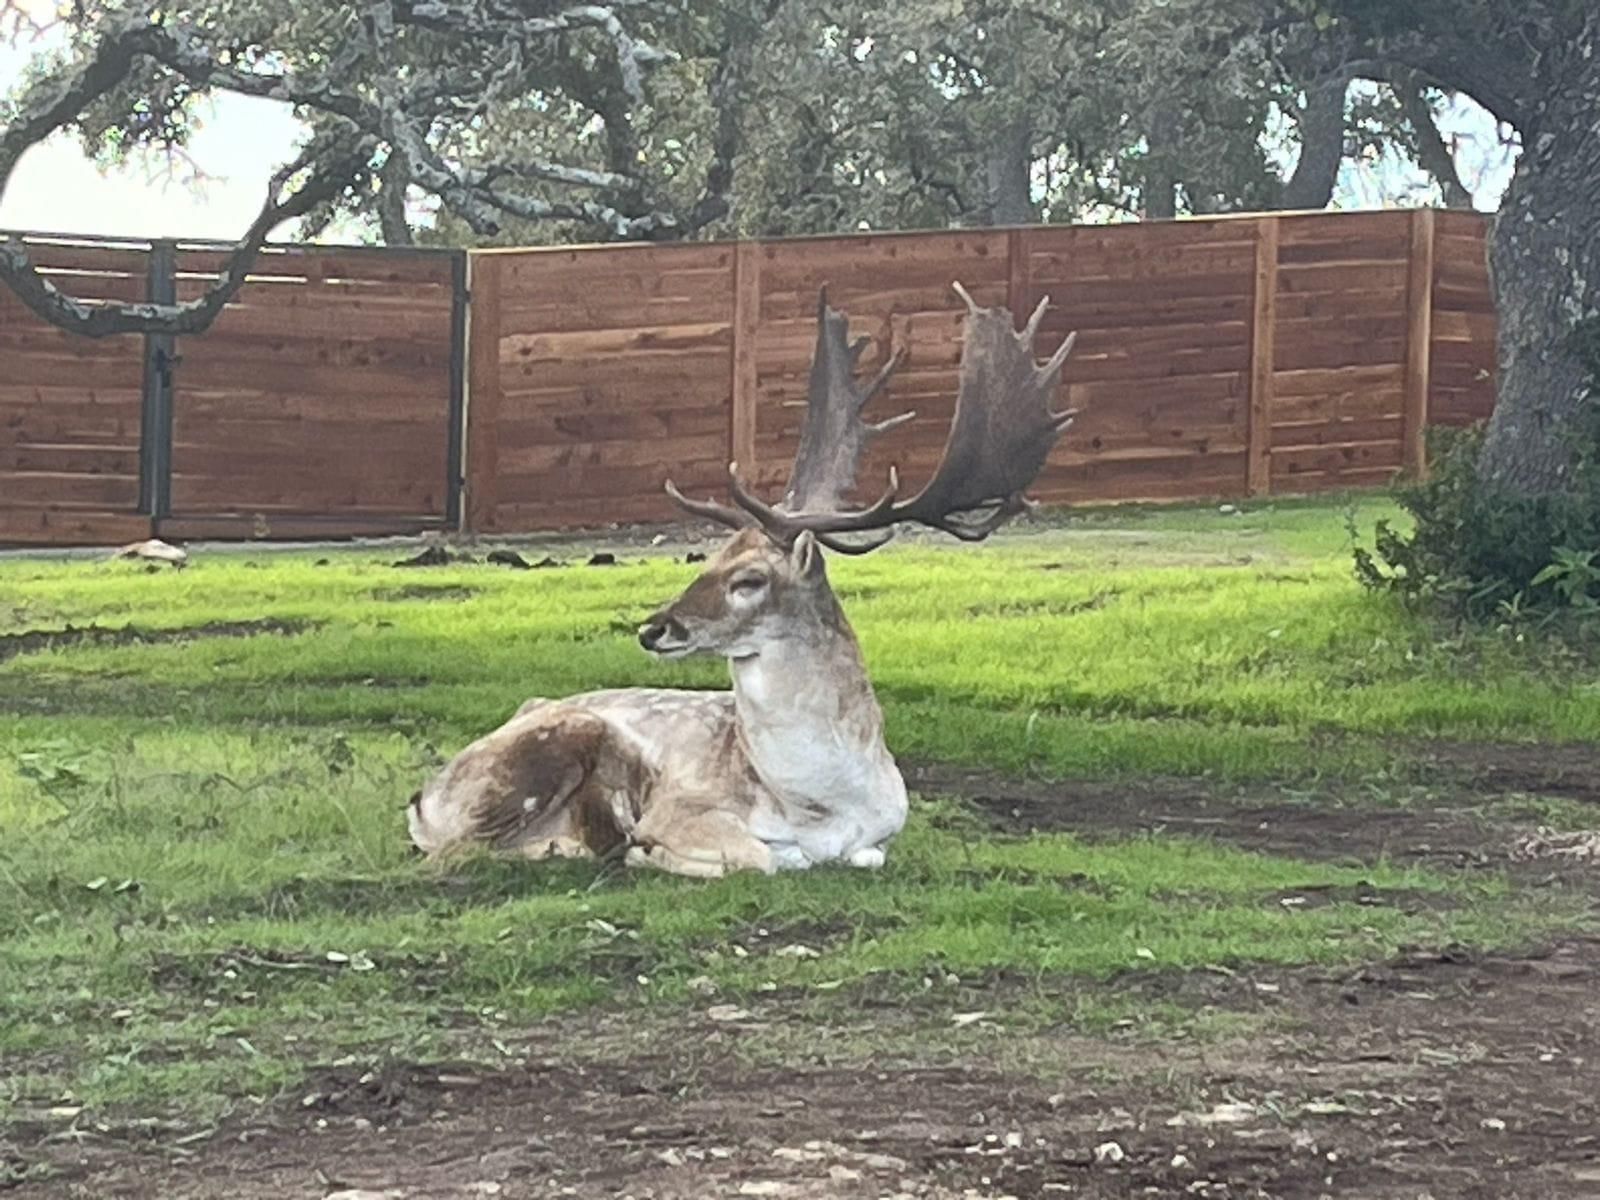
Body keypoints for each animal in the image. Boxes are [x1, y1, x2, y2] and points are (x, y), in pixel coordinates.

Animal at [406, 284, 1075, 876]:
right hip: (545, 750)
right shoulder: (684, 808)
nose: (654, 628)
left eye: (749, 578)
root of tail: (422, 799)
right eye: (706, 559)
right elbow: (766, 857)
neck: (824, 804)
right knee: (457, 852)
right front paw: (647, 851)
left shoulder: (886, 831)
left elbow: (859, 855)